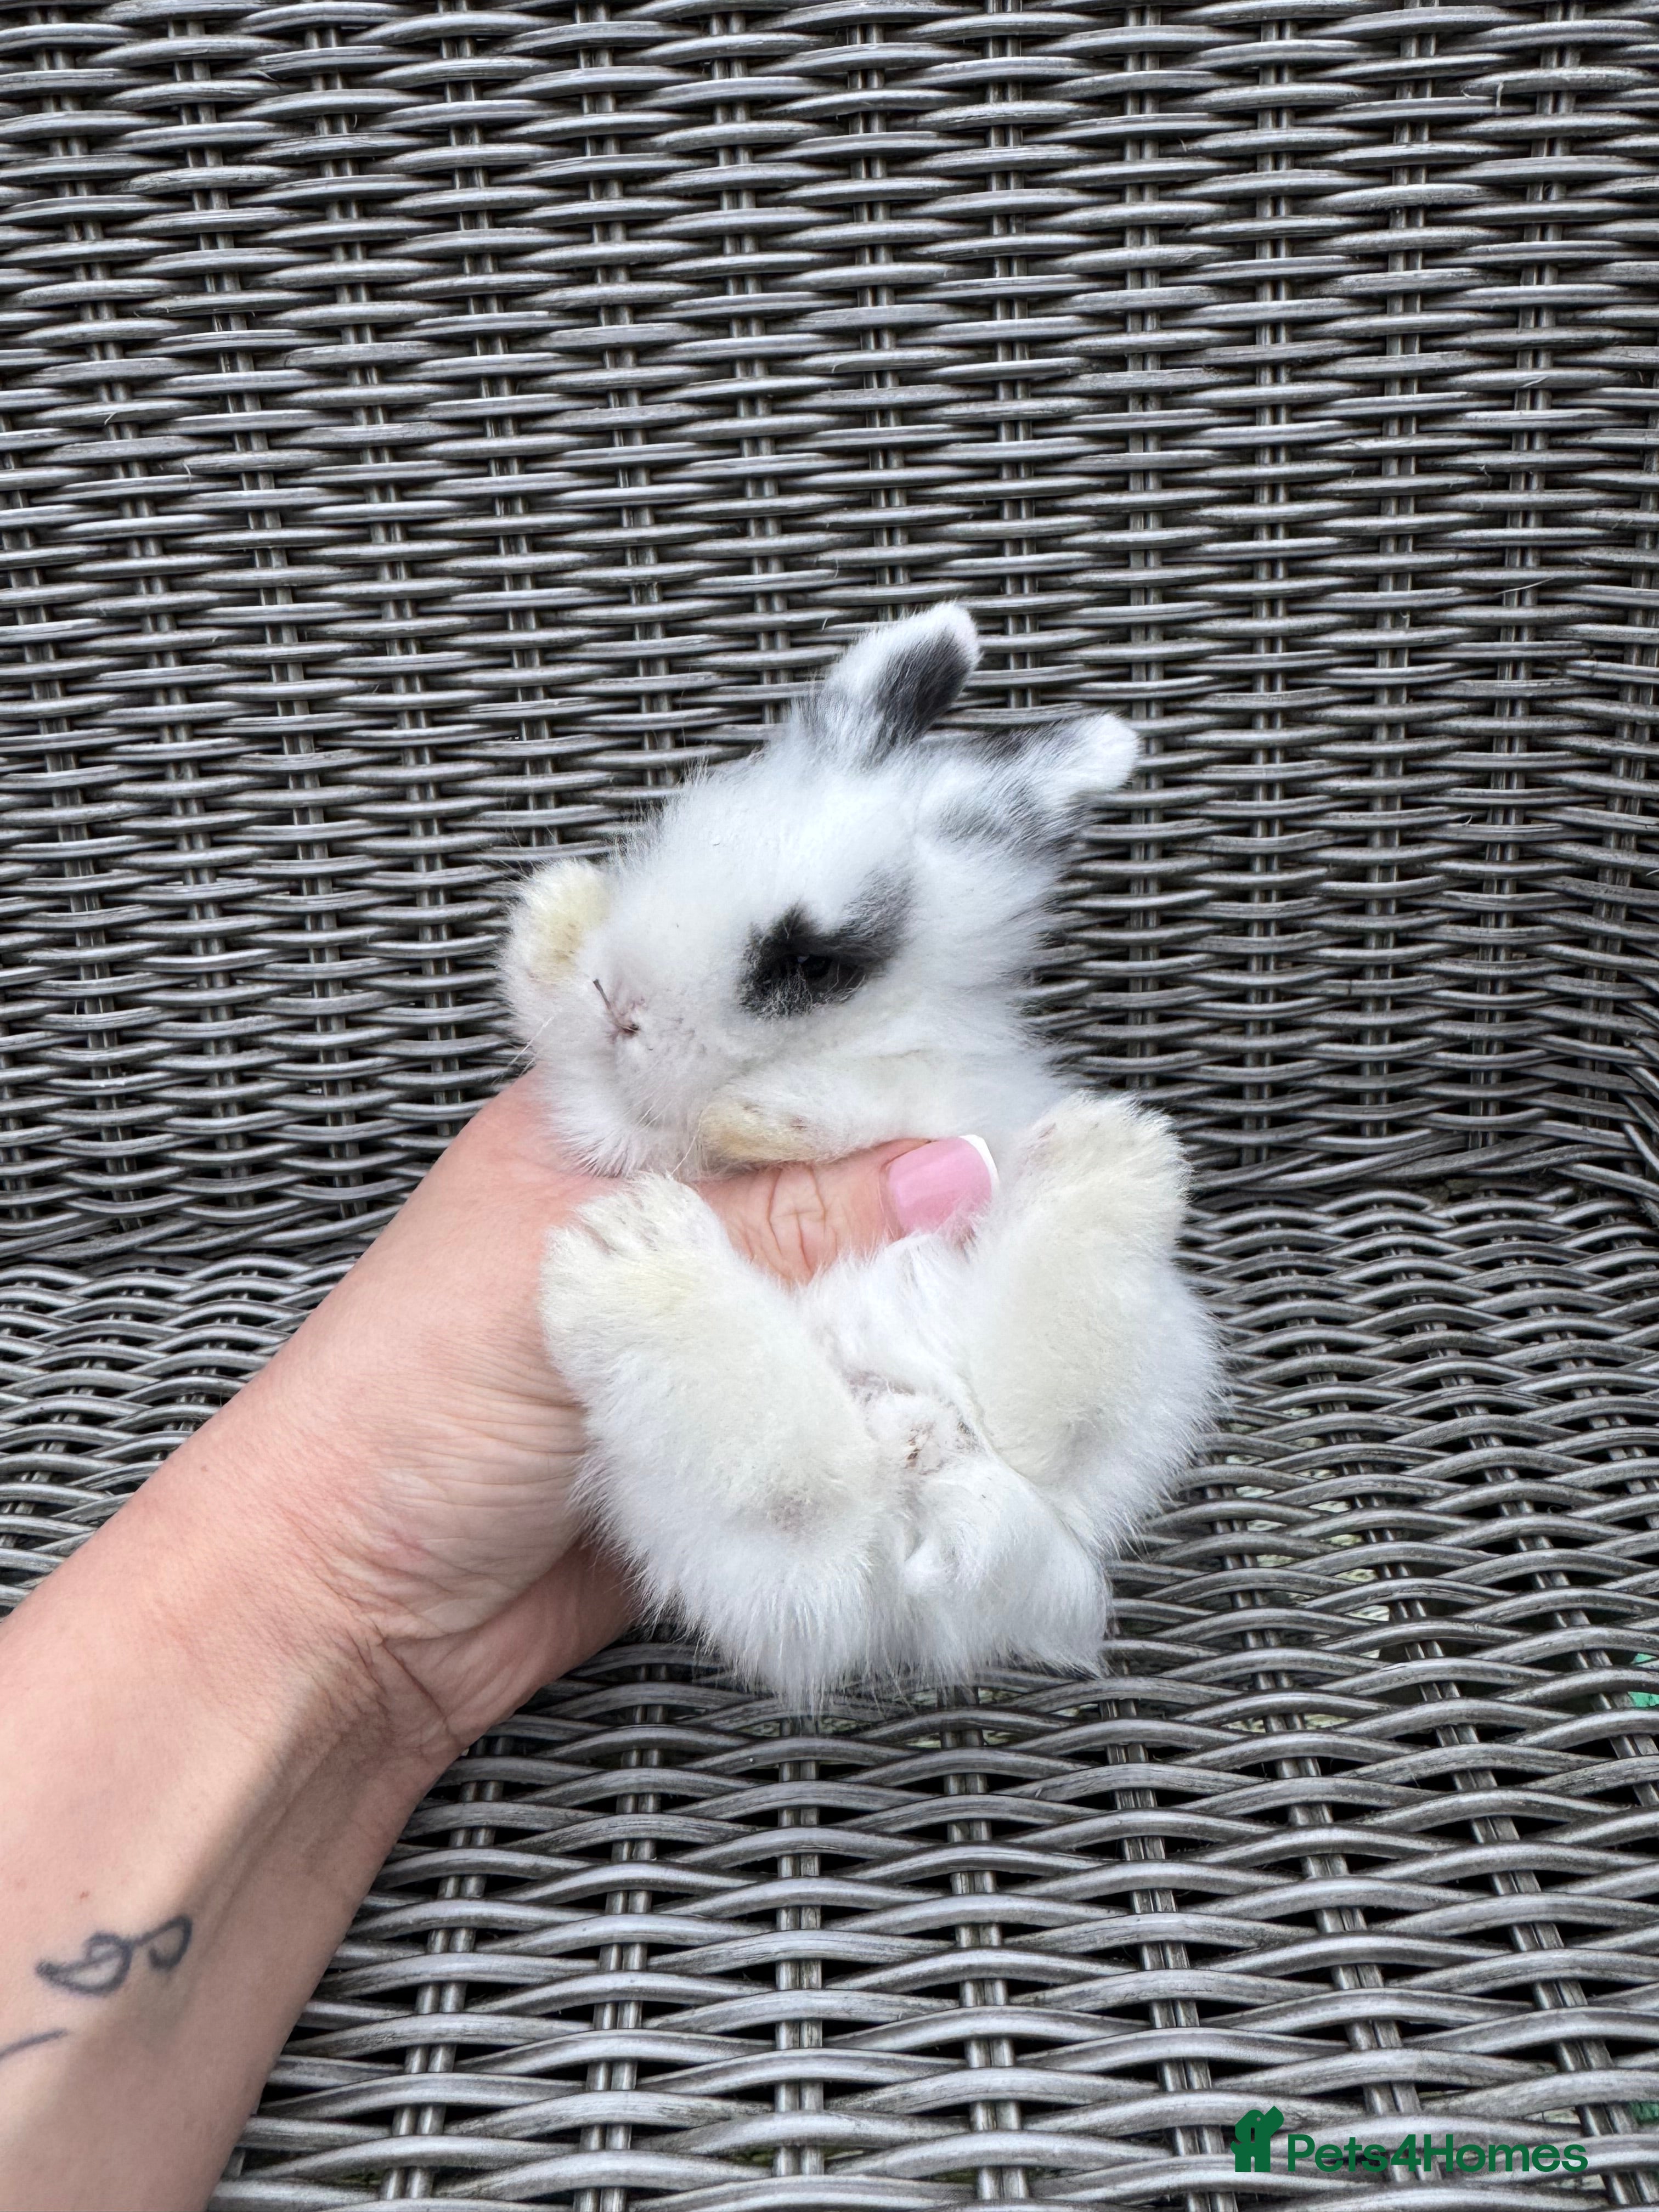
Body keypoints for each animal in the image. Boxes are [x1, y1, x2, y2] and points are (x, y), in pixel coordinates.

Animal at [504, 604, 1219, 1702]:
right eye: (691, 821)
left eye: (810, 965)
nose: (623, 1003)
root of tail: (935, 1503)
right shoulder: (614, 1113)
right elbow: (574, 1052)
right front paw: (560, 910)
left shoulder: (927, 1087)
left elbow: (861, 1104)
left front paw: (757, 1115)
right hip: (732, 1527)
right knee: (804, 1478)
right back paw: (638, 1262)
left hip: (1148, 1373)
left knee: (1044, 1421)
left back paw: (1110, 1159)